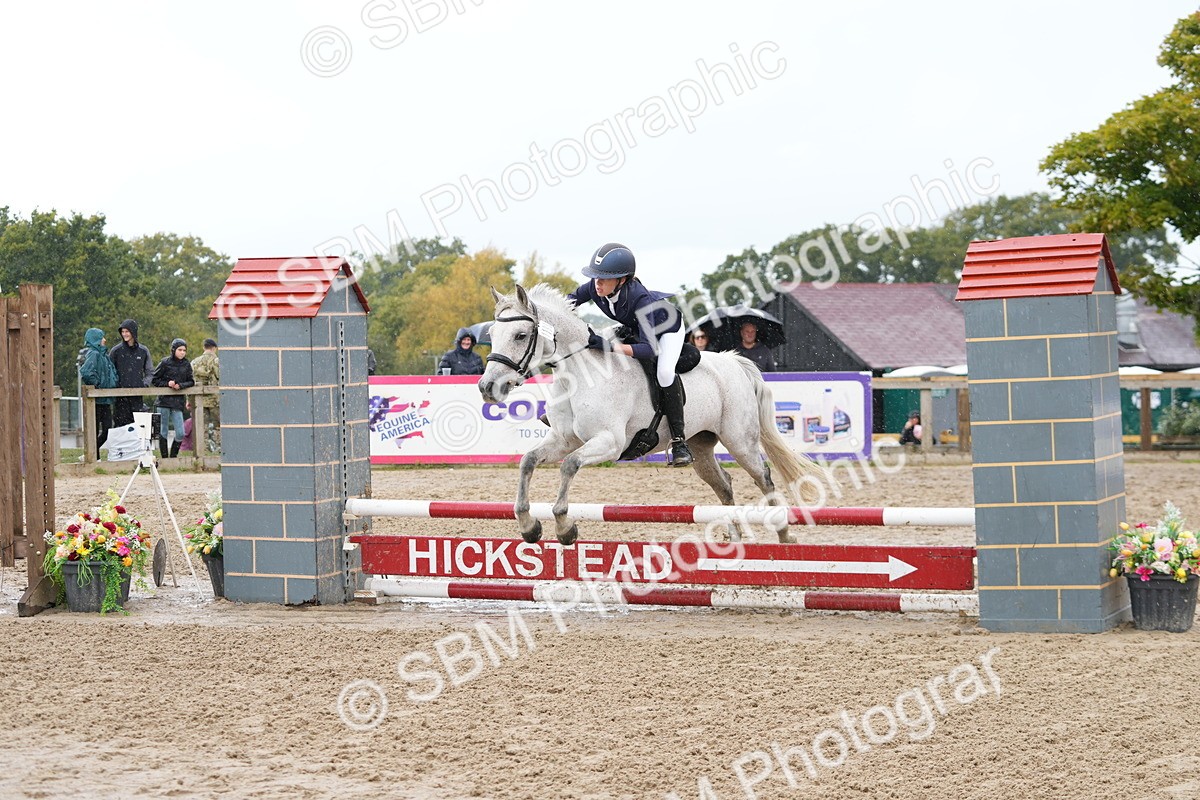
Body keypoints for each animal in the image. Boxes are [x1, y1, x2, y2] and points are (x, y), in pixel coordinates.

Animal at [477, 284, 827, 546]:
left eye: (521, 336)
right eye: (492, 334)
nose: (487, 387)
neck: (579, 373)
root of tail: (734, 361)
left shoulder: (609, 443)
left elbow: (569, 466)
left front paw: (565, 528)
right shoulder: (563, 439)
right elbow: (528, 462)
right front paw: (529, 525)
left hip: (740, 441)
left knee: (764, 478)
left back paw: (784, 536)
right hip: (701, 446)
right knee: (725, 485)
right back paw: (736, 537)